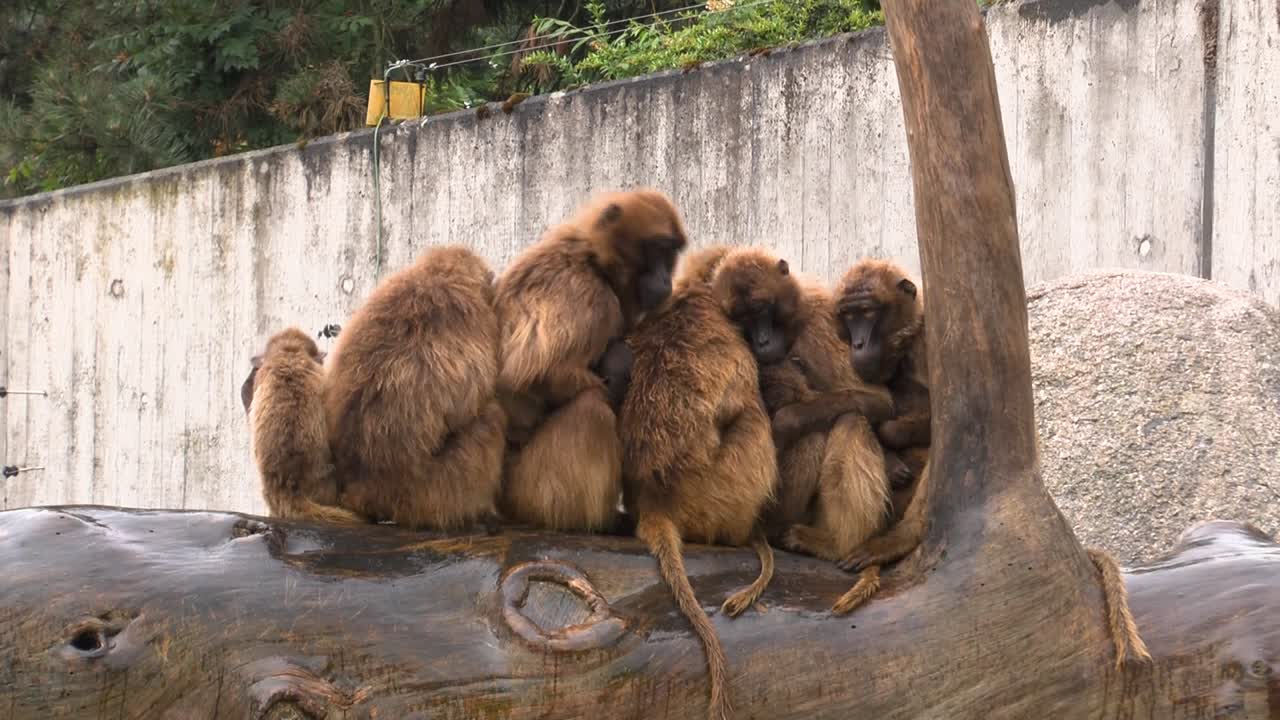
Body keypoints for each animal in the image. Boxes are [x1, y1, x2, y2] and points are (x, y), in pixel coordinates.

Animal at [324, 244, 506, 532]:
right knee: (490, 418)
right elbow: (466, 403)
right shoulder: (475, 316)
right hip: (431, 493)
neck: (435, 276)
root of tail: (363, 490)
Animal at [494, 189, 687, 533]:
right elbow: (524, 380)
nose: (665, 277)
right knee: (591, 408)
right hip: (526, 491)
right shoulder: (587, 293)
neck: (597, 263)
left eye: (670, 254)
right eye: (657, 250)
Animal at [620, 255, 780, 720]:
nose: (763, 336)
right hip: (725, 491)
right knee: (750, 419)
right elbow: (734, 400)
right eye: (750, 316)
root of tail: (654, 503)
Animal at [689, 246, 896, 615]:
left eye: (761, 310)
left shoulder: (820, 319)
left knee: (848, 420)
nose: (762, 340)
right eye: (742, 318)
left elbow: (879, 401)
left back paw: (835, 544)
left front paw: (785, 419)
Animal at [834, 258, 1151, 667]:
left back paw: (904, 536)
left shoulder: (928, 346)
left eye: (868, 313)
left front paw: (890, 440)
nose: (858, 343)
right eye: (849, 316)